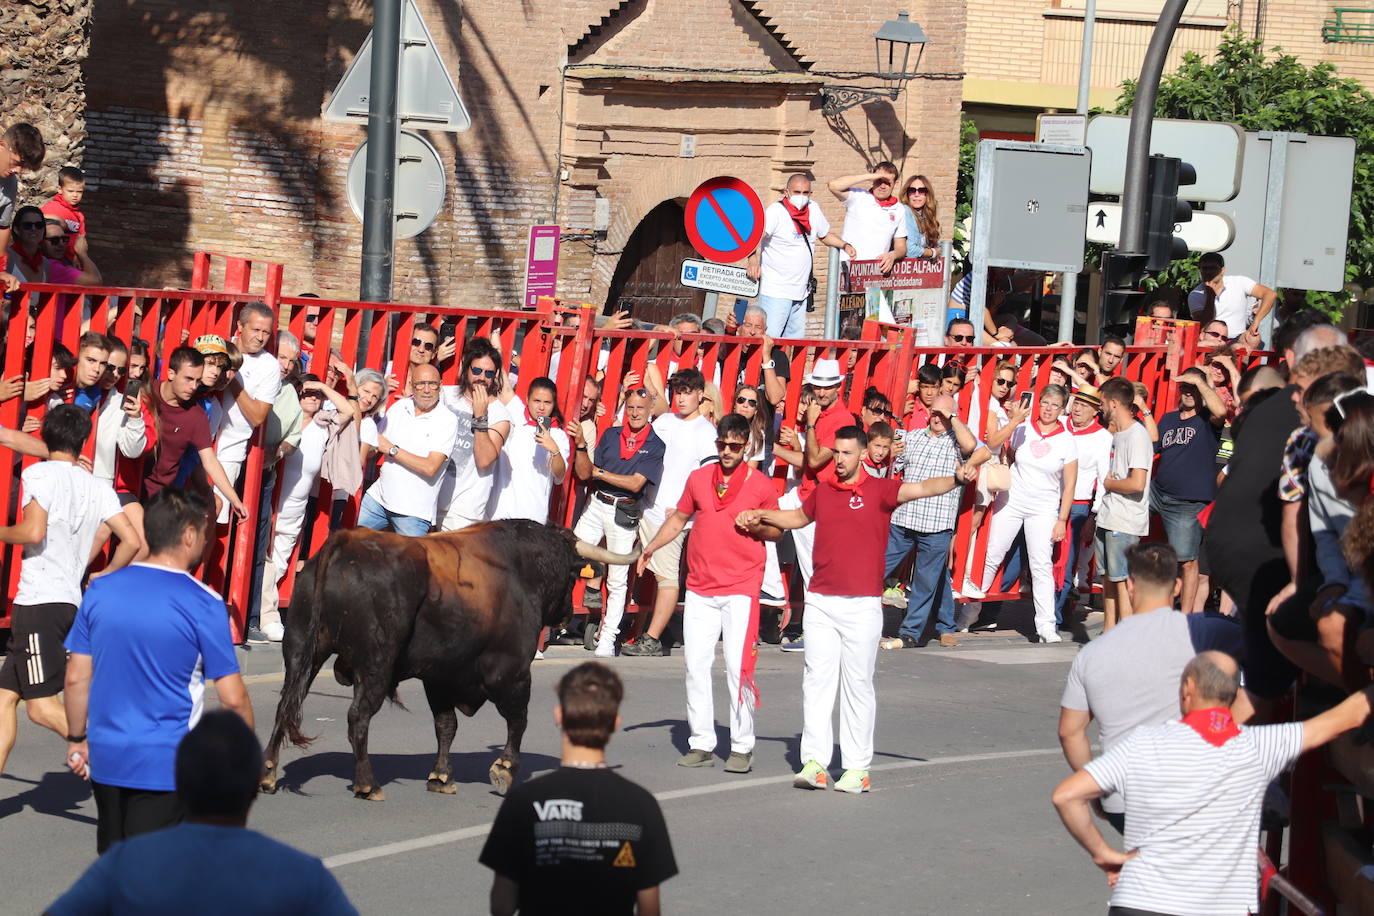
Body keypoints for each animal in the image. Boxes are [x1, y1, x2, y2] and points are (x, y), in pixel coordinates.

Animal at [259, 521, 634, 802]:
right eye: (572, 575)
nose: (567, 613)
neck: (520, 569)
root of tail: (345, 541)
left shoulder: (439, 677)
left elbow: (446, 726)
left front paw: (441, 776)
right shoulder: (511, 672)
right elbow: (518, 720)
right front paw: (506, 768)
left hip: (301, 650)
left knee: (284, 706)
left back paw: (268, 774)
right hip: (376, 663)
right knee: (358, 717)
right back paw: (368, 783)